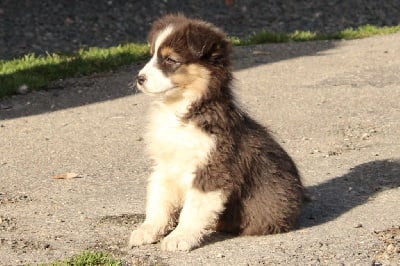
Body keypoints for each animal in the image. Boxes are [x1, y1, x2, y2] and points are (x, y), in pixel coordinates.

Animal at [128, 14, 304, 251]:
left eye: (171, 60)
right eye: (152, 55)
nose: (140, 78)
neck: (180, 111)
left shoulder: (213, 167)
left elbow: (192, 210)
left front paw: (178, 238)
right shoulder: (164, 165)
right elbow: (158, 201)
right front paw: (147, 230)